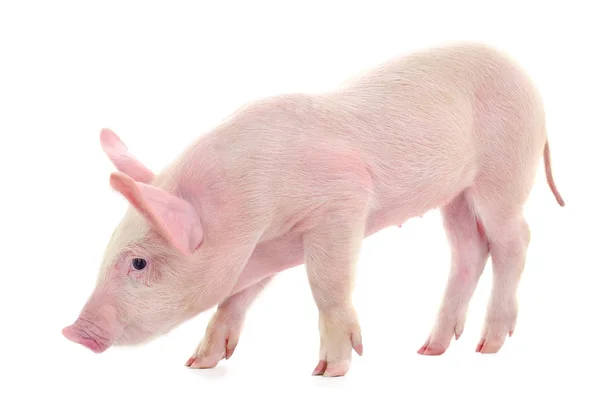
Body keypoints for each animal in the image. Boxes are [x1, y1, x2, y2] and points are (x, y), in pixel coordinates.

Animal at [63, 42, 564, 376]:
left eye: (139, 263)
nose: (72, 332)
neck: (250, 215)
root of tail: (528, 80)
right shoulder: (268, 248)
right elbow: (236, 296)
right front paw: (198, 363)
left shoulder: (343, 203)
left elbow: (327, 285)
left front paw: (329, 371)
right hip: (456, 194)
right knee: (469, 250)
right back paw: (430, 350)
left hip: (504, 171)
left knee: (514, 240)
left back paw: (488, 346)